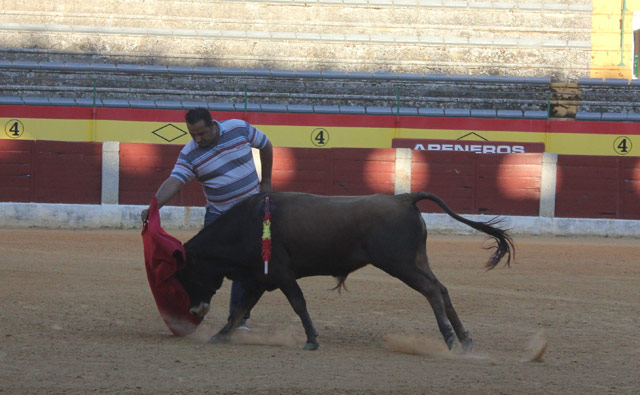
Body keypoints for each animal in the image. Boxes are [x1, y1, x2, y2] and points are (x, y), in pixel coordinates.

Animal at [175, 192, 516, 352]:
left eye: (187, 275)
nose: (195, 310)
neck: (246, 225)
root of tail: (403, 197)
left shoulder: (282, 275)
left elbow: (298, 304)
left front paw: (311, 340)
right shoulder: (261, 279)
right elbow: (239, 310)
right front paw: (219, 336)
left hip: (401, 264)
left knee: (431, 290)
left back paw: (448, 338)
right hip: (418, 260)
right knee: (442, 289)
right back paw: (465, 340)